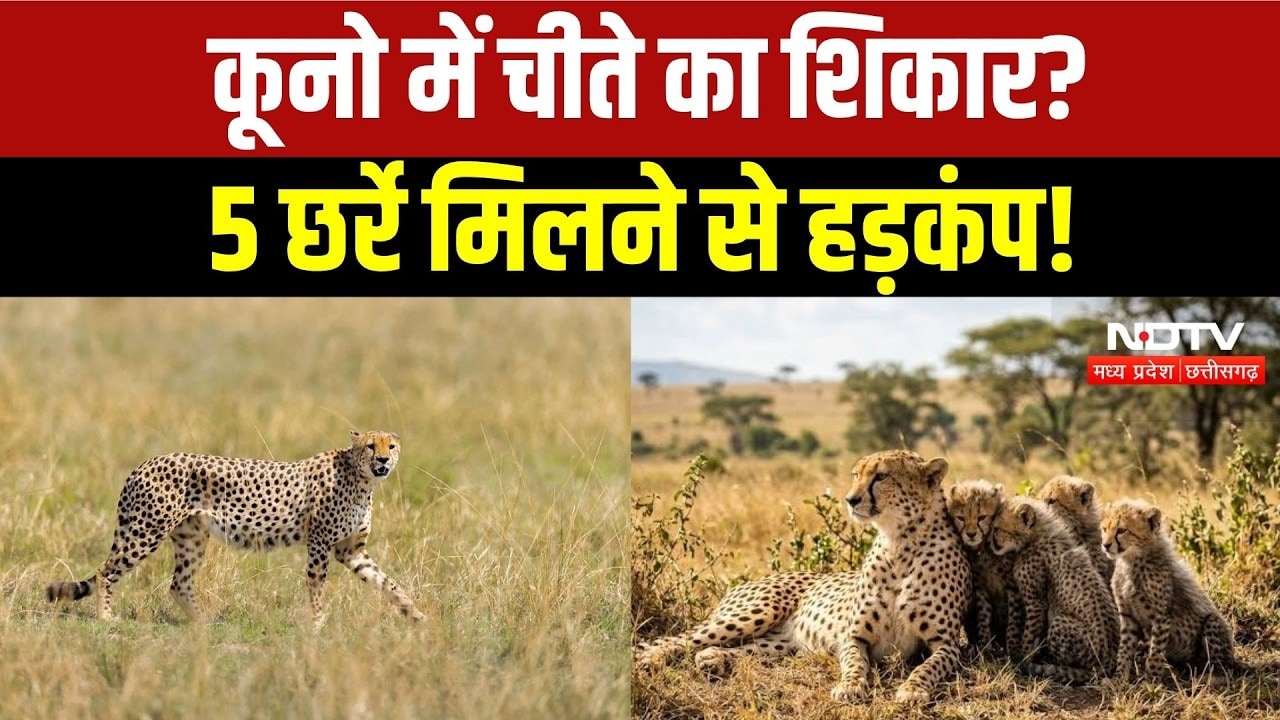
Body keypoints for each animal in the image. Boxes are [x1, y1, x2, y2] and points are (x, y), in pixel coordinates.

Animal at [45, 430, 425, 628]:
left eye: (391, 445)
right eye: (370, 446)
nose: (383, 460)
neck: (361, 479)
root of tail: (144, 463)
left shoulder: (352, 551)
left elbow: (387, 582)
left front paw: (416, 614)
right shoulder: (319, 544)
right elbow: (317, 586)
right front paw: (317, 624)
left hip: (191, 538)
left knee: (178, 584)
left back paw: (204, 623)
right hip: (146, 531)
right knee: (105, 572)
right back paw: (106, 618)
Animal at [634, 450, 971, 705]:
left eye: (882, 476)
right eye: (856, 474)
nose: (850, 499)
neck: (898, 543)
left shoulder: (945, 643)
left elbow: (927, 667)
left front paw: (913, 690)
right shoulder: (853, 636)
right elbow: (854, 663)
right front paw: (849, 686)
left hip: (780, 642)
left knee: (730, 648)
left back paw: (712, 659)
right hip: (757, 612)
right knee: (673, 639)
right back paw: (650, 660)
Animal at [946, 479, 1024, 659]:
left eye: (982, 517)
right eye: (961, 518)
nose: (971, 534)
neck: (985, 549)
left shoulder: (1013, 587)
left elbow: (1013, 621)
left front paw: (1012, 651)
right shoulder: (980, 587)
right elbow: (983, 618)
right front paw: (984, 648)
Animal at [989, 495, 1120, 684]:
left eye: (997, 529)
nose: (990, 543)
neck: (1037, 535)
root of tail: (1109, 659)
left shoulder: (1036, 603)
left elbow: (1029, 634)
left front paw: (1024, 659)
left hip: (1060, 621)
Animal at [1101, 498, 1249, 680]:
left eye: (1121, 530)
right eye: (1104, 529)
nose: (1105, 545)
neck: (1131, 561)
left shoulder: (1162, 617)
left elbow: (1155, 652)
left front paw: (1151, 680)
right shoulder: (1128, 616)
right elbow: (1124, 649)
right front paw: (1119, 678)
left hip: (1212, 624)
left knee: (1221, 667)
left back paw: (1207, 677)